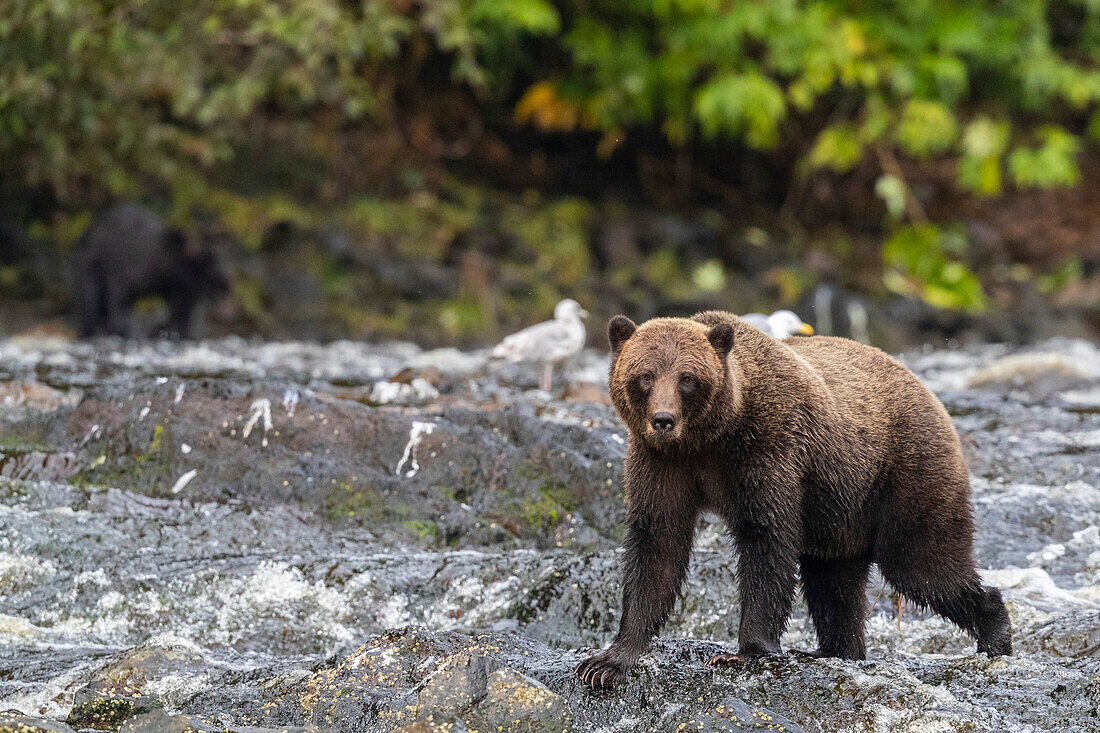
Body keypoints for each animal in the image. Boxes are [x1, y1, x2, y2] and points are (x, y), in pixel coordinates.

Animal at [74, 200, 227, 336]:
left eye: (220, 265)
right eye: (212, 271)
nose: (224, 291)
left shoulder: (178, 286)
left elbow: (181, 308)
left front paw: (168, 330)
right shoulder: (124, 264)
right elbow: (117, 296)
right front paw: (126, 327)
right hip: (89, 263)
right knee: (90, 298)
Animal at [576, 308, 1012, 686]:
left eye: (687, 377)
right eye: (645, 375)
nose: (663, 420)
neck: (709, 439)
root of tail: (929, 391)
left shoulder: (769, 450)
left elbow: (766, 539)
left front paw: (743, 652)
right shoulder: (661, 463)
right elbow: (657, 544)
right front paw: (606, 662)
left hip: (905, 474)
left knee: (923, 564)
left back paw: (996, 635)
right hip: (842, 516)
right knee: (834, 583)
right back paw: (835, 650)